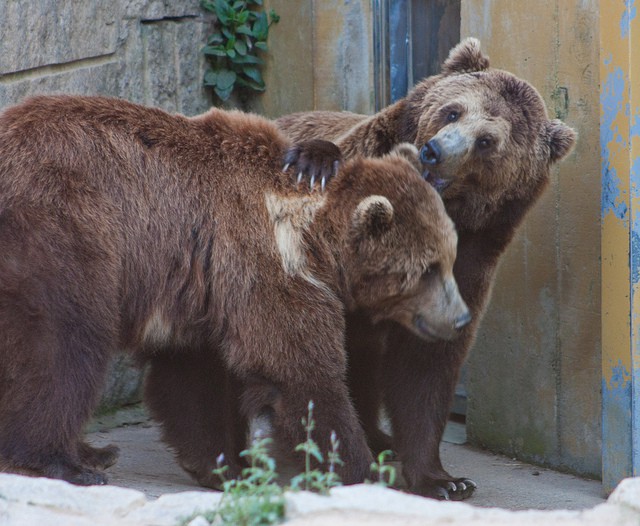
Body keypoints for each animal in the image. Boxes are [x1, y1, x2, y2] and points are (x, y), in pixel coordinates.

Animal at [0, 95, 470, 486]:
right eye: (426, 269)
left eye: (451, 257)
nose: (461, 318)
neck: (311, 237)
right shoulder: (262, 263)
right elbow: (300, 373)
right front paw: (362, 470)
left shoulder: (204, 286)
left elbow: (191, 380)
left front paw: (223, 464)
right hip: (64, 229)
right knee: (64, 343)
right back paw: (66, 461)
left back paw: (94, 451)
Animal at [278, 38, 576, 504]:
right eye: (453, 110)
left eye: (487, 140)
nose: (434, 152)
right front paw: (314, 163)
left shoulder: (469, 260)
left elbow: (425, 366)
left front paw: (443, 479)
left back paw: (380, 438)